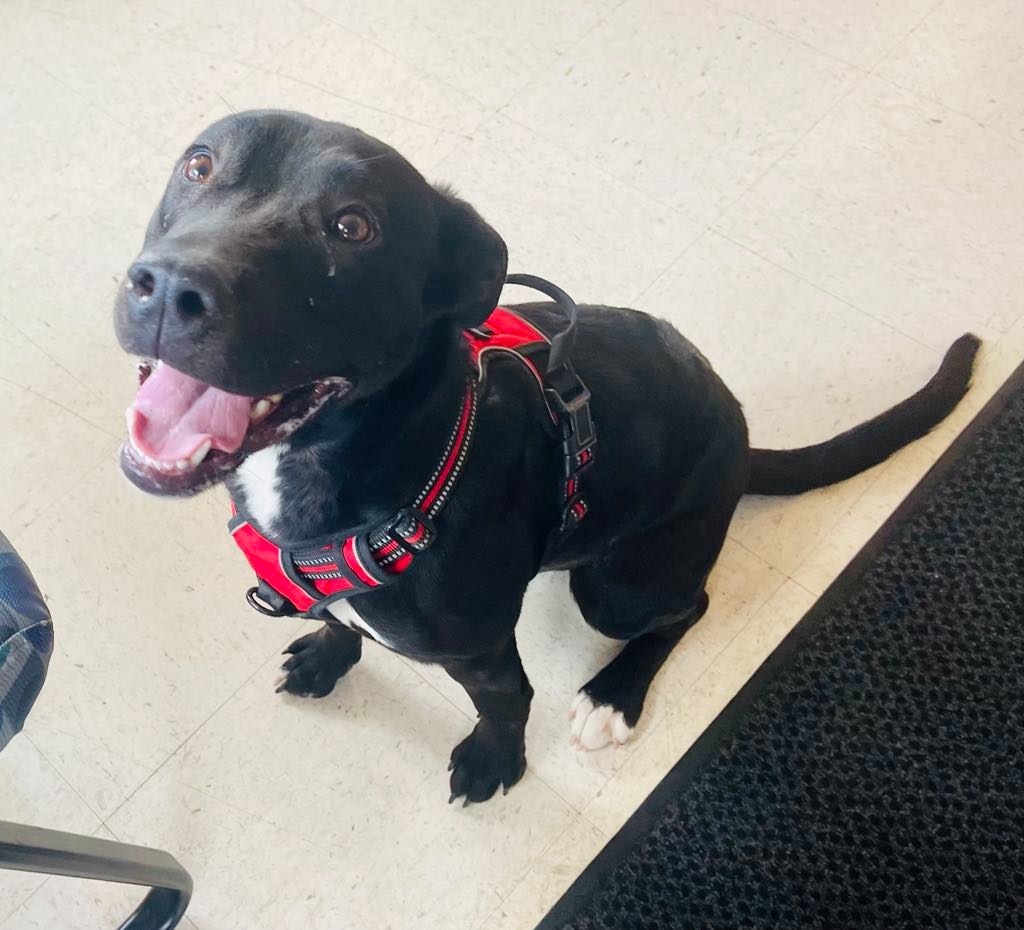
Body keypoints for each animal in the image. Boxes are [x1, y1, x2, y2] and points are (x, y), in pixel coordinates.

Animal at [116, 110, 978, 807]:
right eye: (198, 166)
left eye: (353, 228)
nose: (166, 290)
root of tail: (740, 433)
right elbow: (338, 621)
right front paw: (329, 656)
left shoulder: (481, 652)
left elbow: (507, 704)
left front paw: (495, 762)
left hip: (619, 589)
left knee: (688, 606)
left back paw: (613, 695)